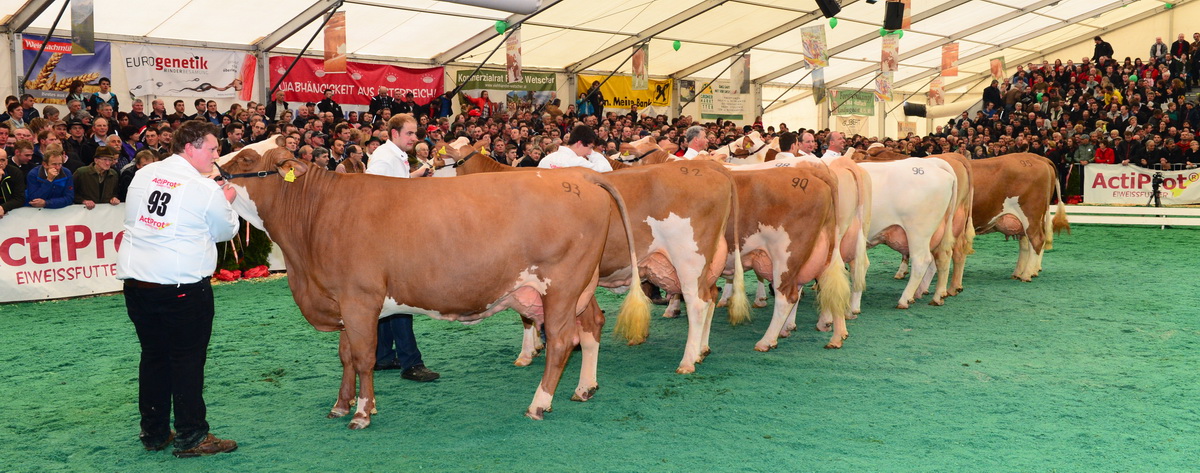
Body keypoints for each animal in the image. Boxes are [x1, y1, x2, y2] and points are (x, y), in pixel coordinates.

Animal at [220, 147, 652, 424]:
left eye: (245, 159)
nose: (216, 169)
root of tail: (577, 175)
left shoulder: (360, 298)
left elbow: (363, 358)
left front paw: (361, 413)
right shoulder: (342, 302)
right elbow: (345, 357)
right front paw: (341, 406)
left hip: (561, 284)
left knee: (562, 341)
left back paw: (539, 404)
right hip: (579, 285)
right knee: (591, 325)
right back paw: (585, 388)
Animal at [446, 140, 753, 372]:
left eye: (449, 160)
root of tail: (708, 166)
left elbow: (525, 316)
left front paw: (525, 354)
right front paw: (535, 347)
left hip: (689, 258)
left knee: (697, 303)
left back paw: (688, 361)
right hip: (706, 260)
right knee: (710, 296)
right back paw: (702, 349)